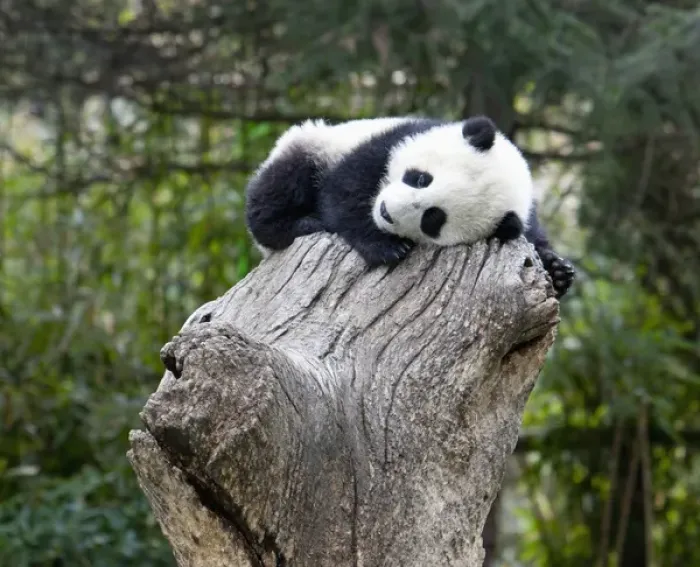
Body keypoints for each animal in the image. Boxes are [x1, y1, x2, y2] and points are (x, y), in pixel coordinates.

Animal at [244, 115, 575, 298]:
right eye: (420, 178)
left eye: (433, 219)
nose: (386, 212)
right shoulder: (392, 140)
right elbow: (344, 189)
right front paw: (384, 246)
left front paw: (558, 271)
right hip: (316, 141)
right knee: (282, 183)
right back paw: (299, 224)